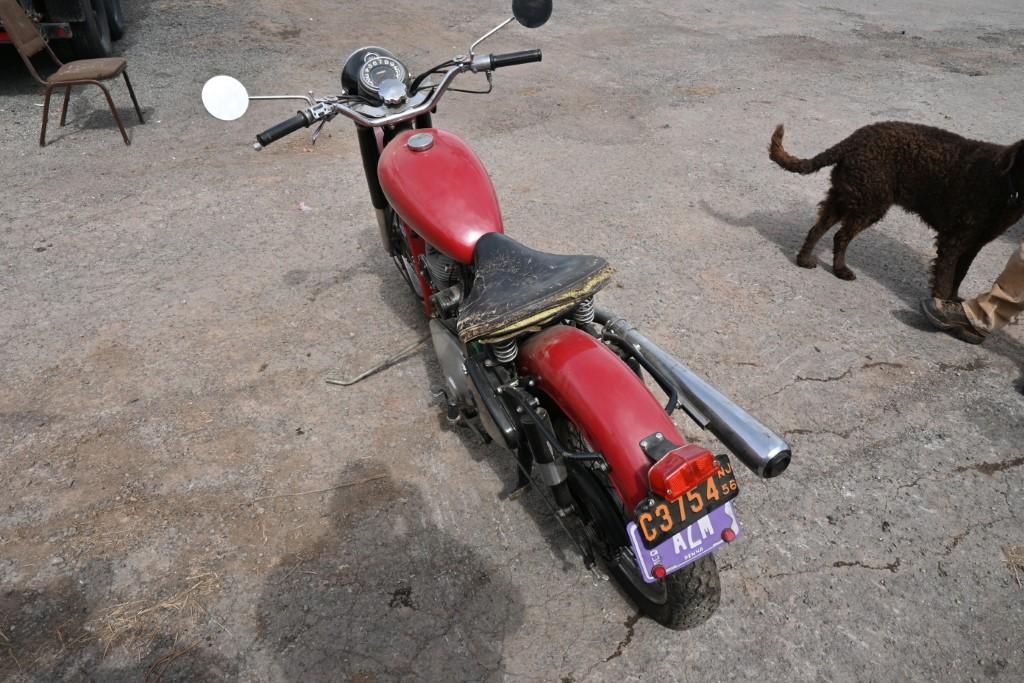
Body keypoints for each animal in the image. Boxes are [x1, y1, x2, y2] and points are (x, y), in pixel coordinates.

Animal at [770, 121, 1024, 296]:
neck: (1001, 182)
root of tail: (851, 140)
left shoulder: (974, 244)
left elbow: (959, 276)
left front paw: (954, 305)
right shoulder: (954, 239)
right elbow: (945, 278)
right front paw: (941, 311)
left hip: (845, 196)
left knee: (818, 229)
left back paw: (804, 260)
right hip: (869, 203)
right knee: (840, 236)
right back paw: (840, 270)